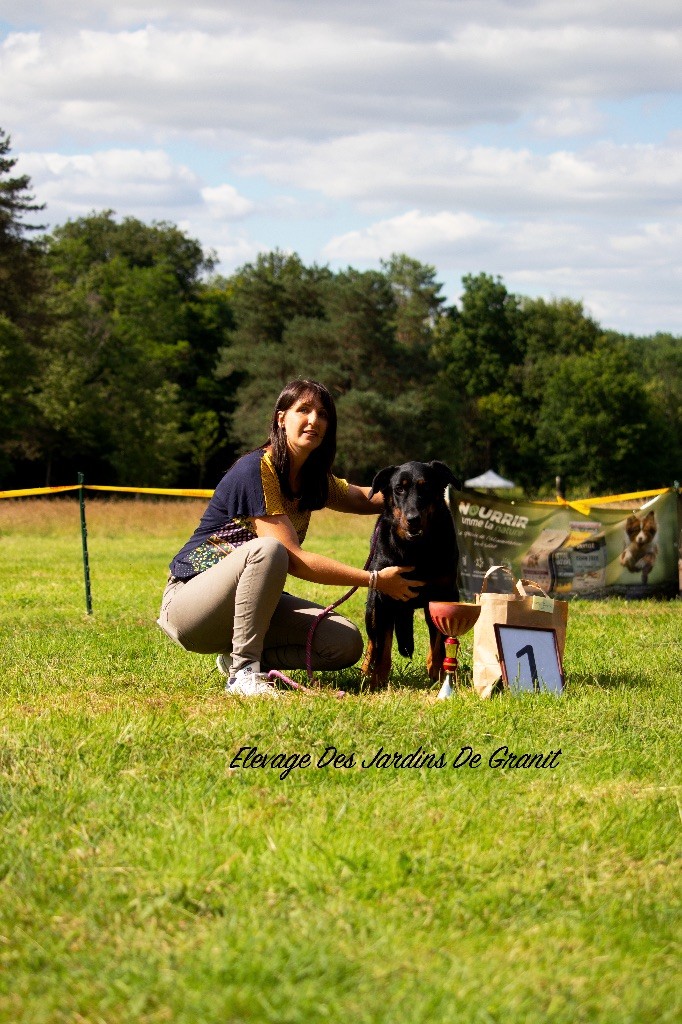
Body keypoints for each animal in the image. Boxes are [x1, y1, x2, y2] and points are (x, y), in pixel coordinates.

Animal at [358, 462, 458, 688]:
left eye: (426, 487)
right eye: (399, 489)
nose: (413, 519)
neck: (415, 550)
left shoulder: (444, 594)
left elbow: (439, 644)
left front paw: (441, 677)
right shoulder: (382, 598)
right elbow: (382, 645)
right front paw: (376, 680)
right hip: (371, 605)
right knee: (373, 640)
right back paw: (366, 670)